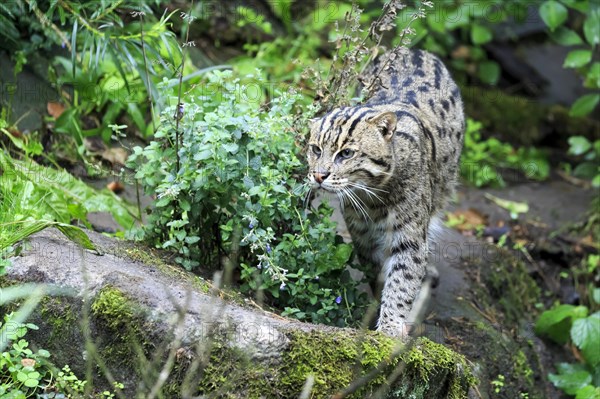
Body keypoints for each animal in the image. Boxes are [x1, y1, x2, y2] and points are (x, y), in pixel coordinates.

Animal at [308, 50, 466, 338]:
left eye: (346, 153)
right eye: (315, 149)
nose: (318, 175)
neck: (372, 197)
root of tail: (416, 50)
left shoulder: (409, 235)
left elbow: (403, 279)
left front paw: (390, 329)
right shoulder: (361, 234)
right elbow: (377, 272)